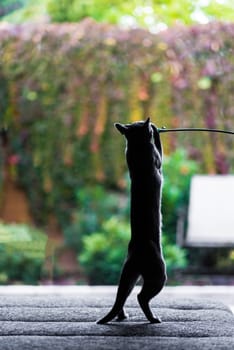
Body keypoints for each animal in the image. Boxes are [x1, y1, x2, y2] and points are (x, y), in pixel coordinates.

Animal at [97, 118, 166, 326]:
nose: (149, 123)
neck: (137, 147)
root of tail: (136, 252)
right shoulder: (157, 159)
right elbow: (159, 148)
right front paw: (155, 130)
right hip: (158, 274)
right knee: (141, 297)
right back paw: (153, 318)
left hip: (128, 276)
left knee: (121, 298)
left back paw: (122, 315)